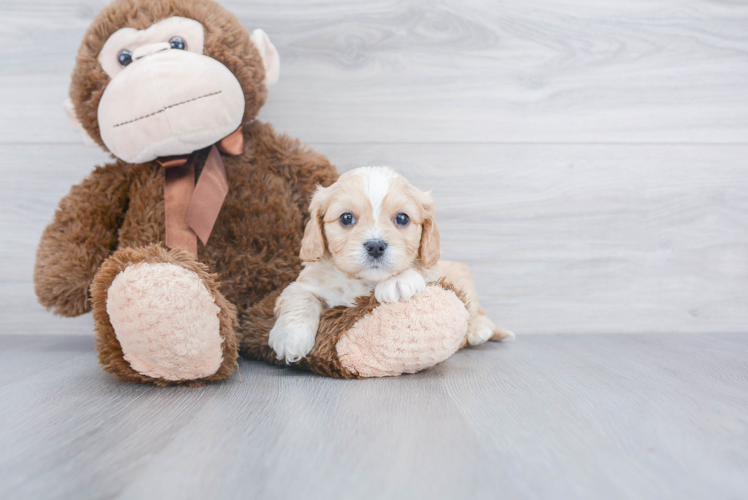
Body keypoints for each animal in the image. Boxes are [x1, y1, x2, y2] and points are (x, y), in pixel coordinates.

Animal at [270, 168, 516, 364]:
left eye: (402, 218)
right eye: (346, 218)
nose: (375, 246)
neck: (361, 281)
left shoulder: (433, 269)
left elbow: (420, 269)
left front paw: (398, 281)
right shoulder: (304, 284)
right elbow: (302, 299)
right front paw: (291, 338)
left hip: (464, 283)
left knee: (475, 310)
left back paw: (480, 330)